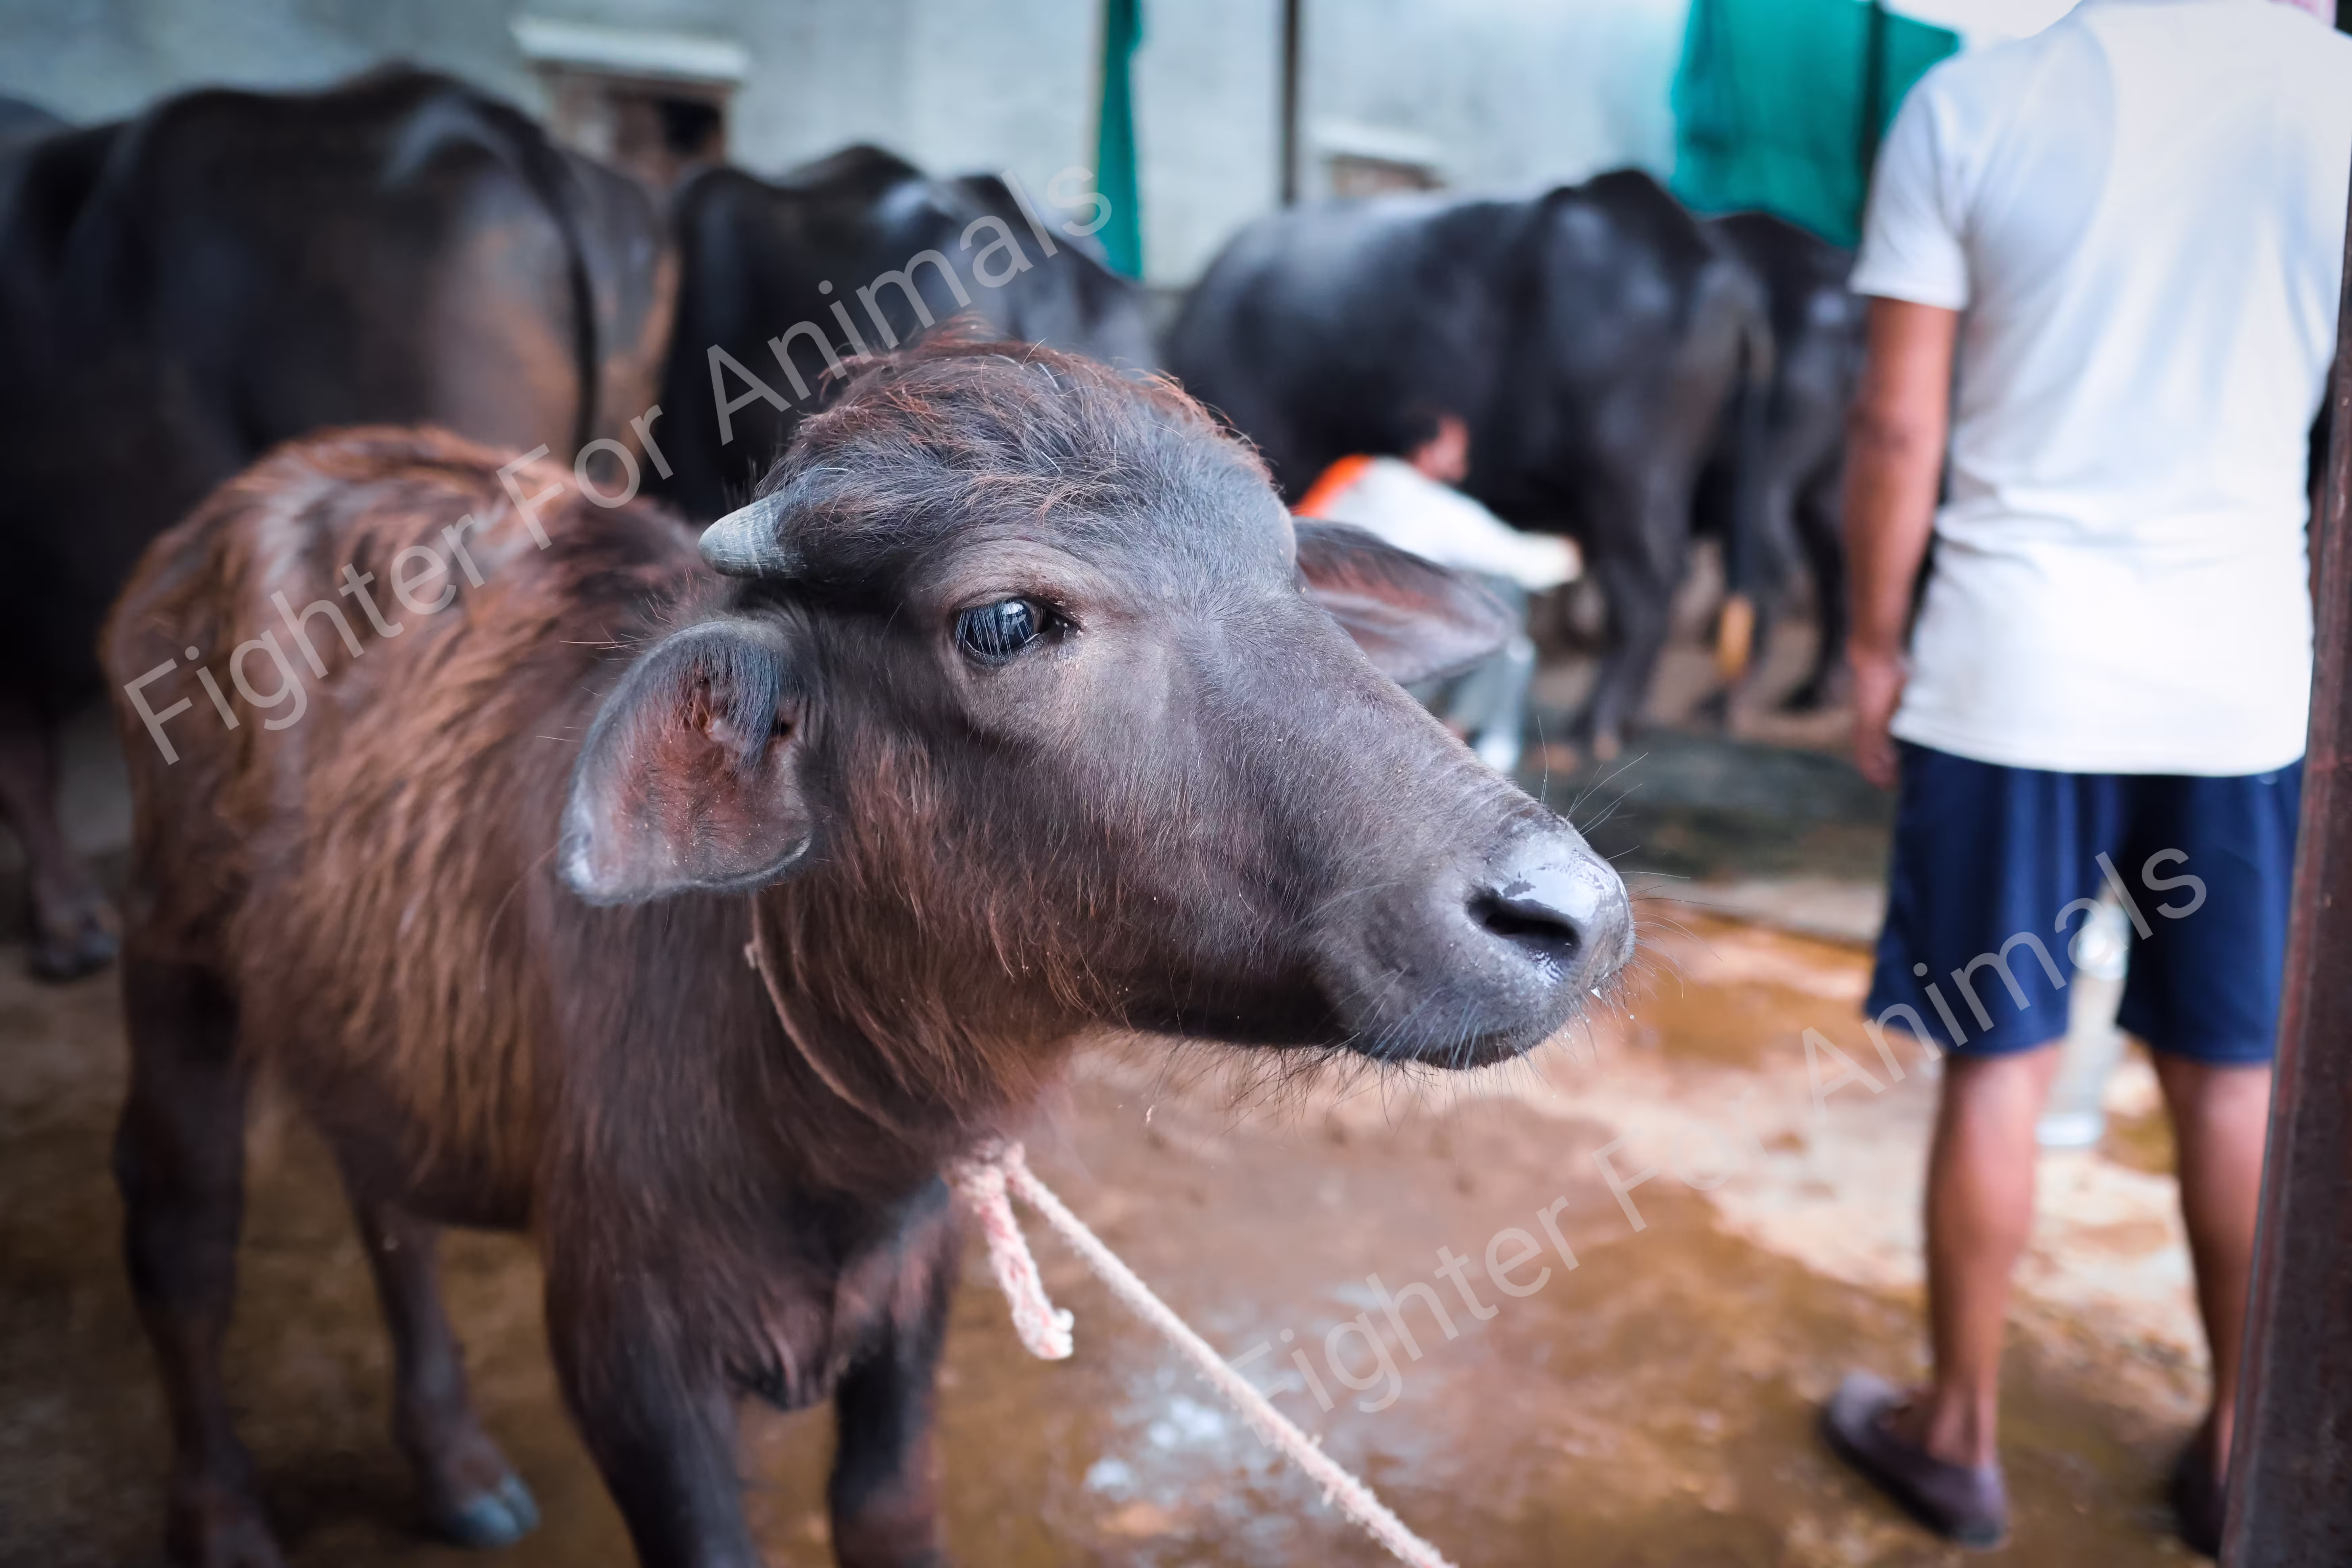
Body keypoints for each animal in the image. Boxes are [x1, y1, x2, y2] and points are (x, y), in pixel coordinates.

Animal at [102, 338, 1633, 1568]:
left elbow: (887, 1509)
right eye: (1007, 620)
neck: (815, 1128)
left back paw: (456, 1463)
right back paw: (224, 1517)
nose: (1574, 914)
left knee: (386, 1192)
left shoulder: (915, 1292)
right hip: (172, 971)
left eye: (1289, 572)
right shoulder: (624, 1350)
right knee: (184, 1241)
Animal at [1694, 211, 1866, 713]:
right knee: (1839, 565)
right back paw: (1818, 689)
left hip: (1757, 480)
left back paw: (1726, 698)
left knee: (1770, 571)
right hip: (1828, 482)